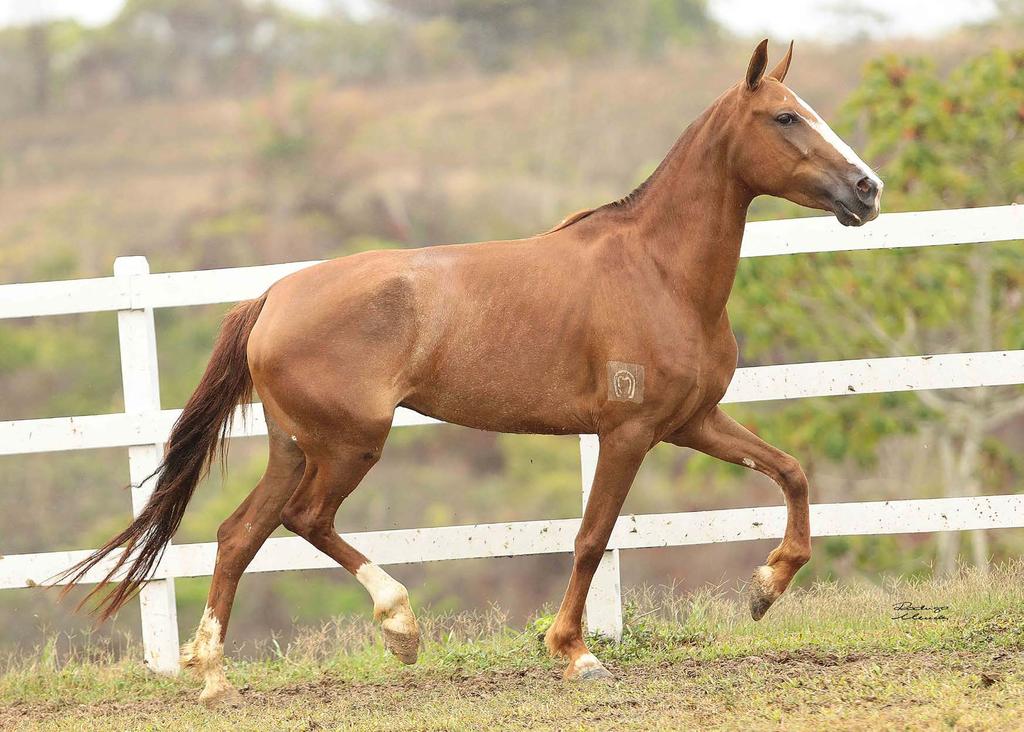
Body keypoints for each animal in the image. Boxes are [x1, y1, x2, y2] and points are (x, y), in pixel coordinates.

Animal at [59, 41, 884, 704]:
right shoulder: (628, 432)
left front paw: (765, 589)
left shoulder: (691, 422)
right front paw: (573, 653)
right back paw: (399, 627)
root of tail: (272, 297)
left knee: (238, 535)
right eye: (785, 118)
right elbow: (592, 536)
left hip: (294, 446)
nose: (867, 189)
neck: (657, 271)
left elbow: (791, 472)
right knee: (304, 520)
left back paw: (215, 678)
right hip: (350, 443)